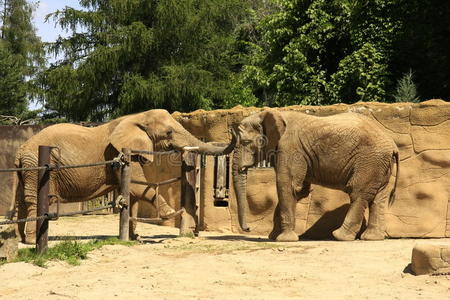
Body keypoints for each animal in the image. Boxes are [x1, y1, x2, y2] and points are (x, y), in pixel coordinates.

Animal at [8, 109, 236, 245]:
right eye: (169, 132)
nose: (232, 132)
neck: (137, 117)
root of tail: (20, 150)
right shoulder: (119, 151)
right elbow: (138, 187)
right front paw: (171, 213)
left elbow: (133, 193)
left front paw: (136, 238)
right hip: (36, 166)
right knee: (33, 199)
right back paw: (31, 241)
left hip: (27, 169)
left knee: (22, 200)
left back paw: (20, 238)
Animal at [234, 109, 400, 243]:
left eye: (246, 142)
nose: (248, 229)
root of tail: (393, 144)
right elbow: (299, 190)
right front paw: (274, 237)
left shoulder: (290, 149)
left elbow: (287, 185)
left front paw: (284, 239)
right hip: (380, 164)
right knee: (378, 197)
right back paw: (371, 238)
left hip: (370, 160)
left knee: (358, 194)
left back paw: (340, 236)